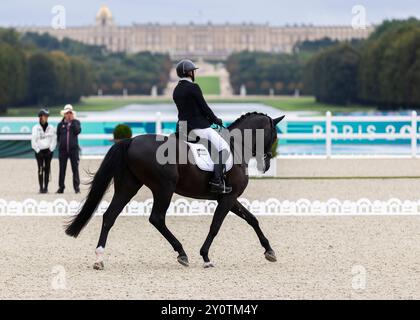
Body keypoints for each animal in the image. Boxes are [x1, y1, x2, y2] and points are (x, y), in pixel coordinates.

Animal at [65, 112, 286, 270]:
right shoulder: (228, 197)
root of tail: (131, 141)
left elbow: (252, 219)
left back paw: (99, 259)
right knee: (156, 218)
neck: (237, 145)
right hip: (164, 188)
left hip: (128, 187)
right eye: (274, 136)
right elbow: (215, 226)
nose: (266, 165)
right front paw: (205, 256)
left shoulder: (228, 197)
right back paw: (181, 253)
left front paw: (269, 251)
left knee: (110, 216)